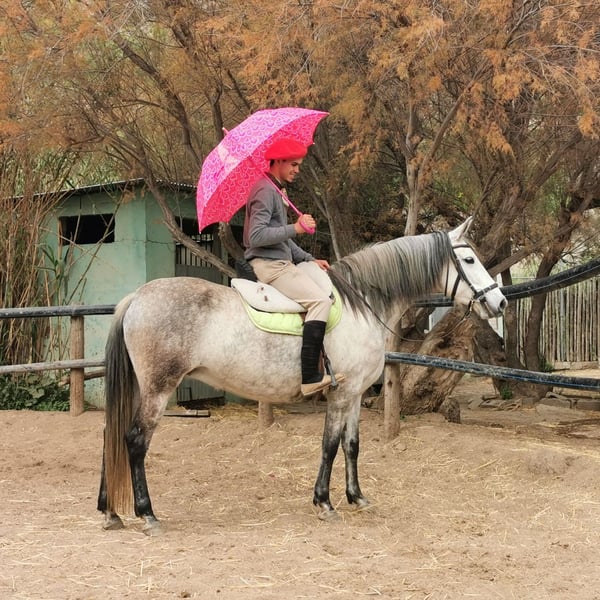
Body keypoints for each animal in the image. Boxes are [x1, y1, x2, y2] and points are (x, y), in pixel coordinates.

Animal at [97, 217, 507, 535]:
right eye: (469, 258)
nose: (500, 302)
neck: (360, 303)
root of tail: (136, 297)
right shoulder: (340, 394)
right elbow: (329, 445)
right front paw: (324, 503)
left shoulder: (355, 394)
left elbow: (352, 445)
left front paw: (357, 497)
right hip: (158, 389)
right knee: (135, 441)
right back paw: (147, 514)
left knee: (111, 436)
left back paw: (110, 512)